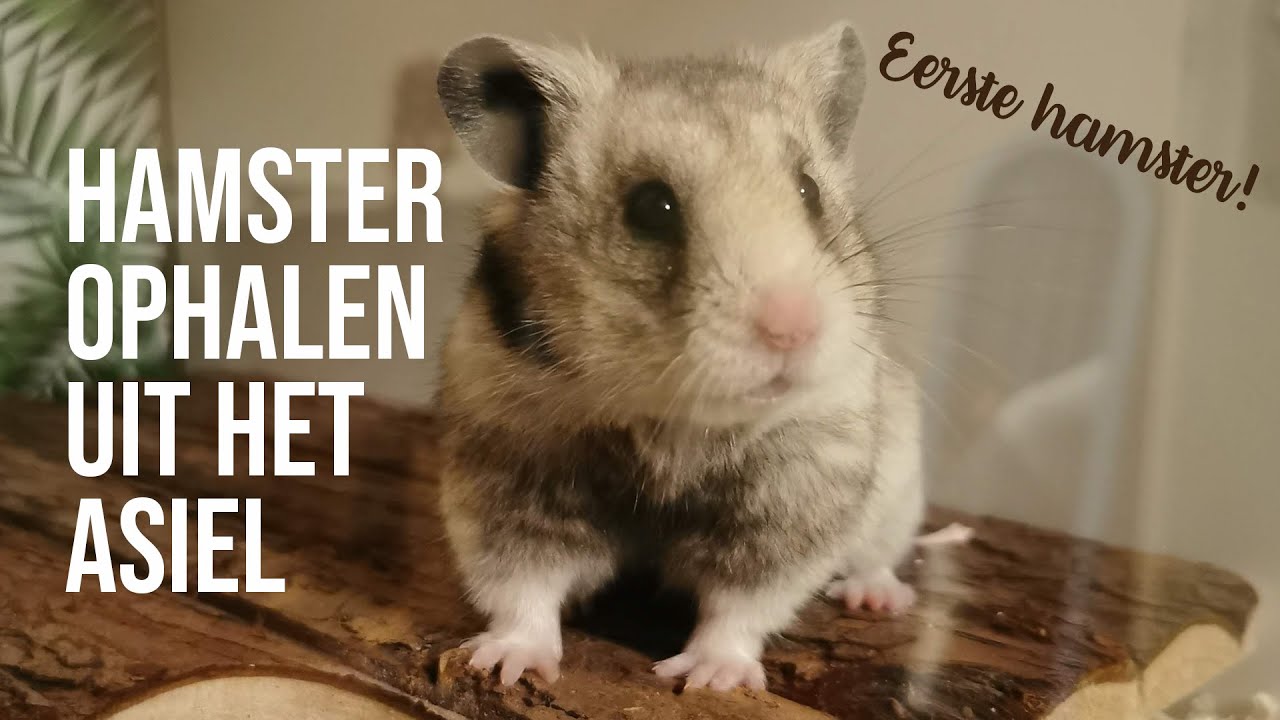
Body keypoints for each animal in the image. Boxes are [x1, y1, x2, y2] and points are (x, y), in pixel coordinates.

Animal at [433, 22, 924, 692]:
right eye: (649, 207)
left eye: (810, 192)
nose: (794, 330)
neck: (675, 418)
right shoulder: (506, 481)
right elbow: (522, 588)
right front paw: (506, 664)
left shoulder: (791, 504)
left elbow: (741, 605)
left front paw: (711, 678)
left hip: (897, 487)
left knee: (877, 555)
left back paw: (876, 597)